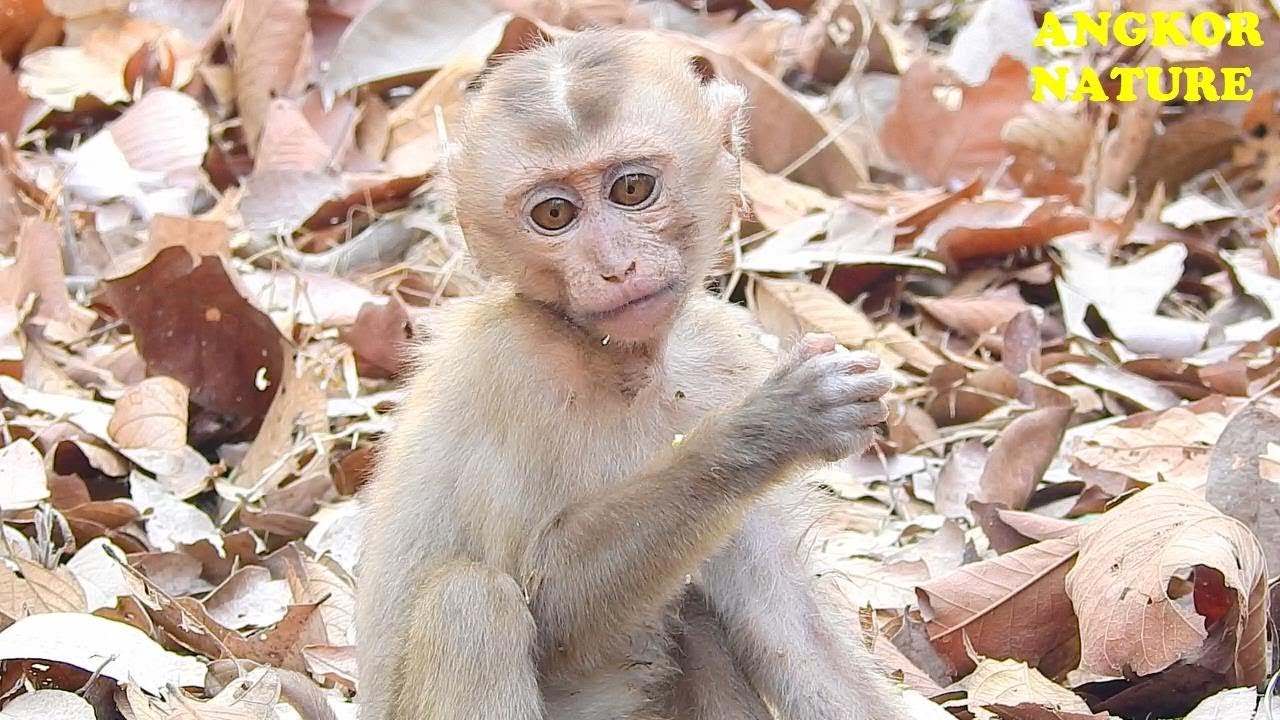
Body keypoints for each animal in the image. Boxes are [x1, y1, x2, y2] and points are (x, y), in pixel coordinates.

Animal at [355, 30, 911, 720]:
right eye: (555, 214)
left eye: (632, 189)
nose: (615, 265)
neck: (616, 361)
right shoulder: (509, 366)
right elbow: (548, 604)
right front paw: (767, 430)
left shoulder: (722, 355)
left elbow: (790, 630)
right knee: (470, 602)